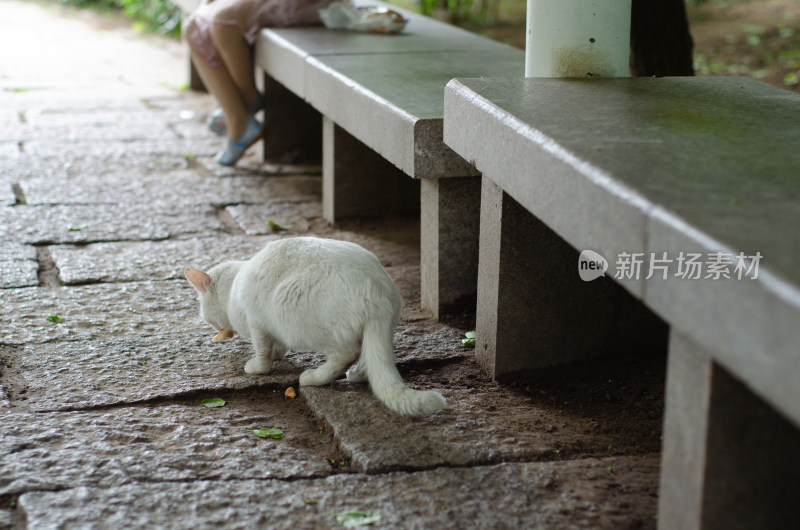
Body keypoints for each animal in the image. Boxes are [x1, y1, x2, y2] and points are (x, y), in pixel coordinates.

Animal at [185, 236, 446, 416]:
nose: (213, 328)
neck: (232, 287)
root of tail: (377, 291)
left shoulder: (257, 322)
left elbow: (261, 350)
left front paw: (259, 366)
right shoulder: (269, 328)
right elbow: (276, 346)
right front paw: (277, 354)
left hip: (291, 306)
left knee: (347, 353)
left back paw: (313, 377)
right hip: (377, 330)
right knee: (370, 354)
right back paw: (359, 374)